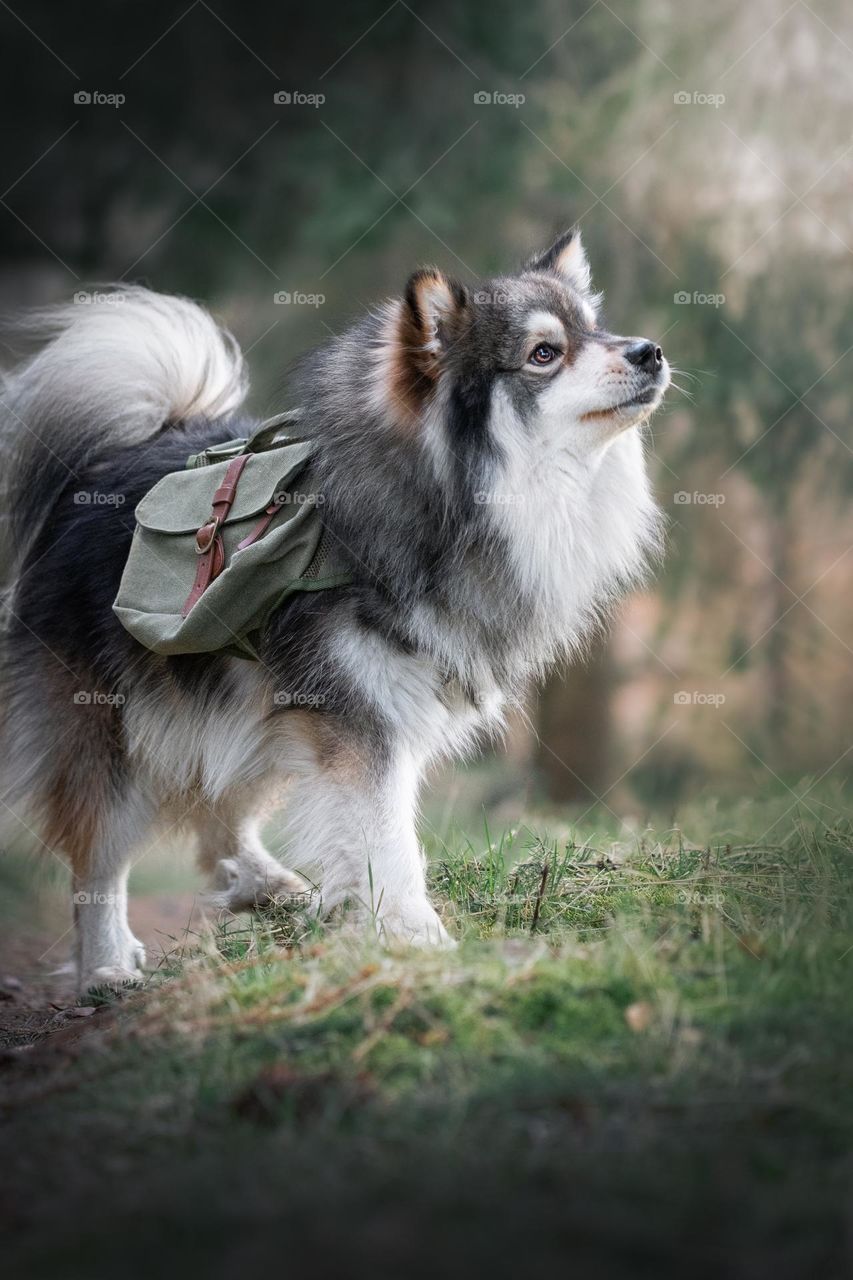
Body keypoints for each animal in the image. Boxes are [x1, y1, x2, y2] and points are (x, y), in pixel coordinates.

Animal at [0, 230, 666, 988]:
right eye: (544, 353)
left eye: (595, 329)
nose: (649, 351)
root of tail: (106, 464)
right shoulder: (360, 720)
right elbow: (388, 840)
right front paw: (420, 938)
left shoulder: (360, 715)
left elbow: (364, 835)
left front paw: (364, 915)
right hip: (111, 731)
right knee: (100, 859)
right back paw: (108, 965)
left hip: (247, 702)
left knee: (216, 809)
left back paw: (263, 884)